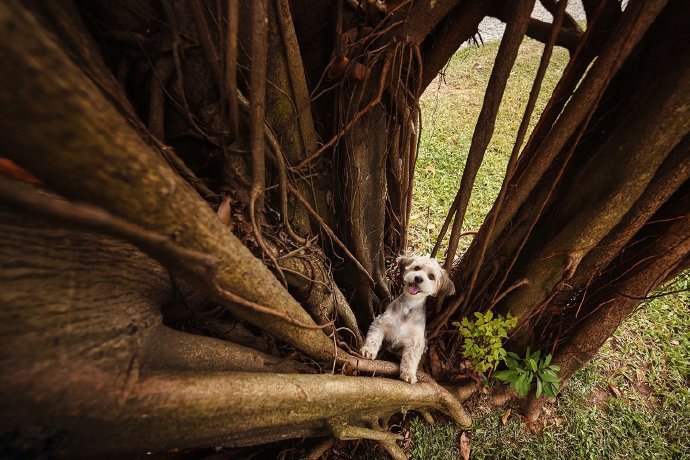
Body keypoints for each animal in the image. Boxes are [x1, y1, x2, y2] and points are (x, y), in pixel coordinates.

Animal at [358, 255, 454, 384]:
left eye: (431, 277)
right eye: (417, 268)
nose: (418, 278)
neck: (409, 306)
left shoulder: (415, 342)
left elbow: (410, 359)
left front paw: (408, 374)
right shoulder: (381, 323)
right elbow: (374, 338)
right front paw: (368, 350)